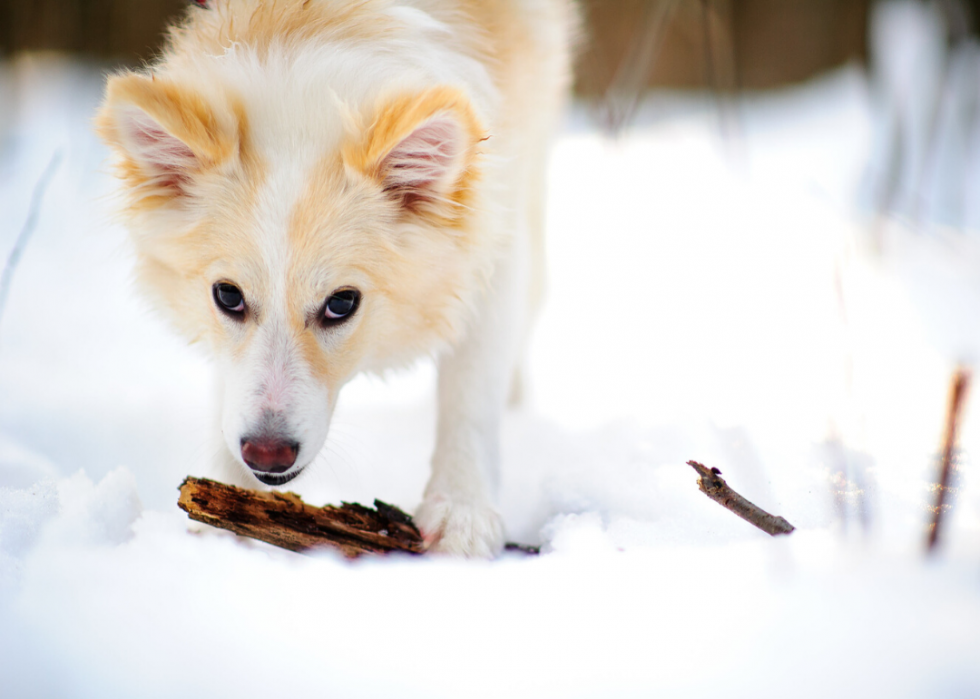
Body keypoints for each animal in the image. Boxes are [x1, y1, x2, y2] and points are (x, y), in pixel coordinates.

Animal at [94, 0, 576, 556]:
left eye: (342, 303)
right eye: (227, 296)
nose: (266, 456)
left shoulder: (494, 235)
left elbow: (471, 392)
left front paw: (462, 512)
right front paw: (218, 509)